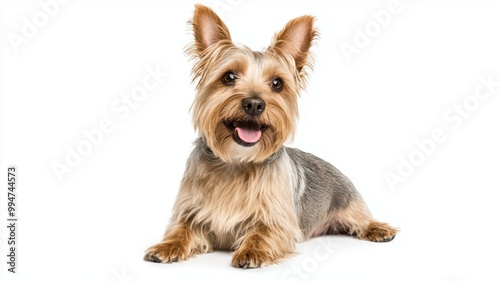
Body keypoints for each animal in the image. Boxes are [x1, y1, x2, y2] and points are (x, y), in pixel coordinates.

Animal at [145, 3, 398, 266]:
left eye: (277, 83)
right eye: (229, 76)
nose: (254, 104)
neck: (237, 161)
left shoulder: (279, 220)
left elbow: (263, 232)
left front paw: (251, 251)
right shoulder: (190, 212)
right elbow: (181, 229)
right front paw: (167, 246)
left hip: (349, 202)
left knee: (362, 218)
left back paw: (379, 229)